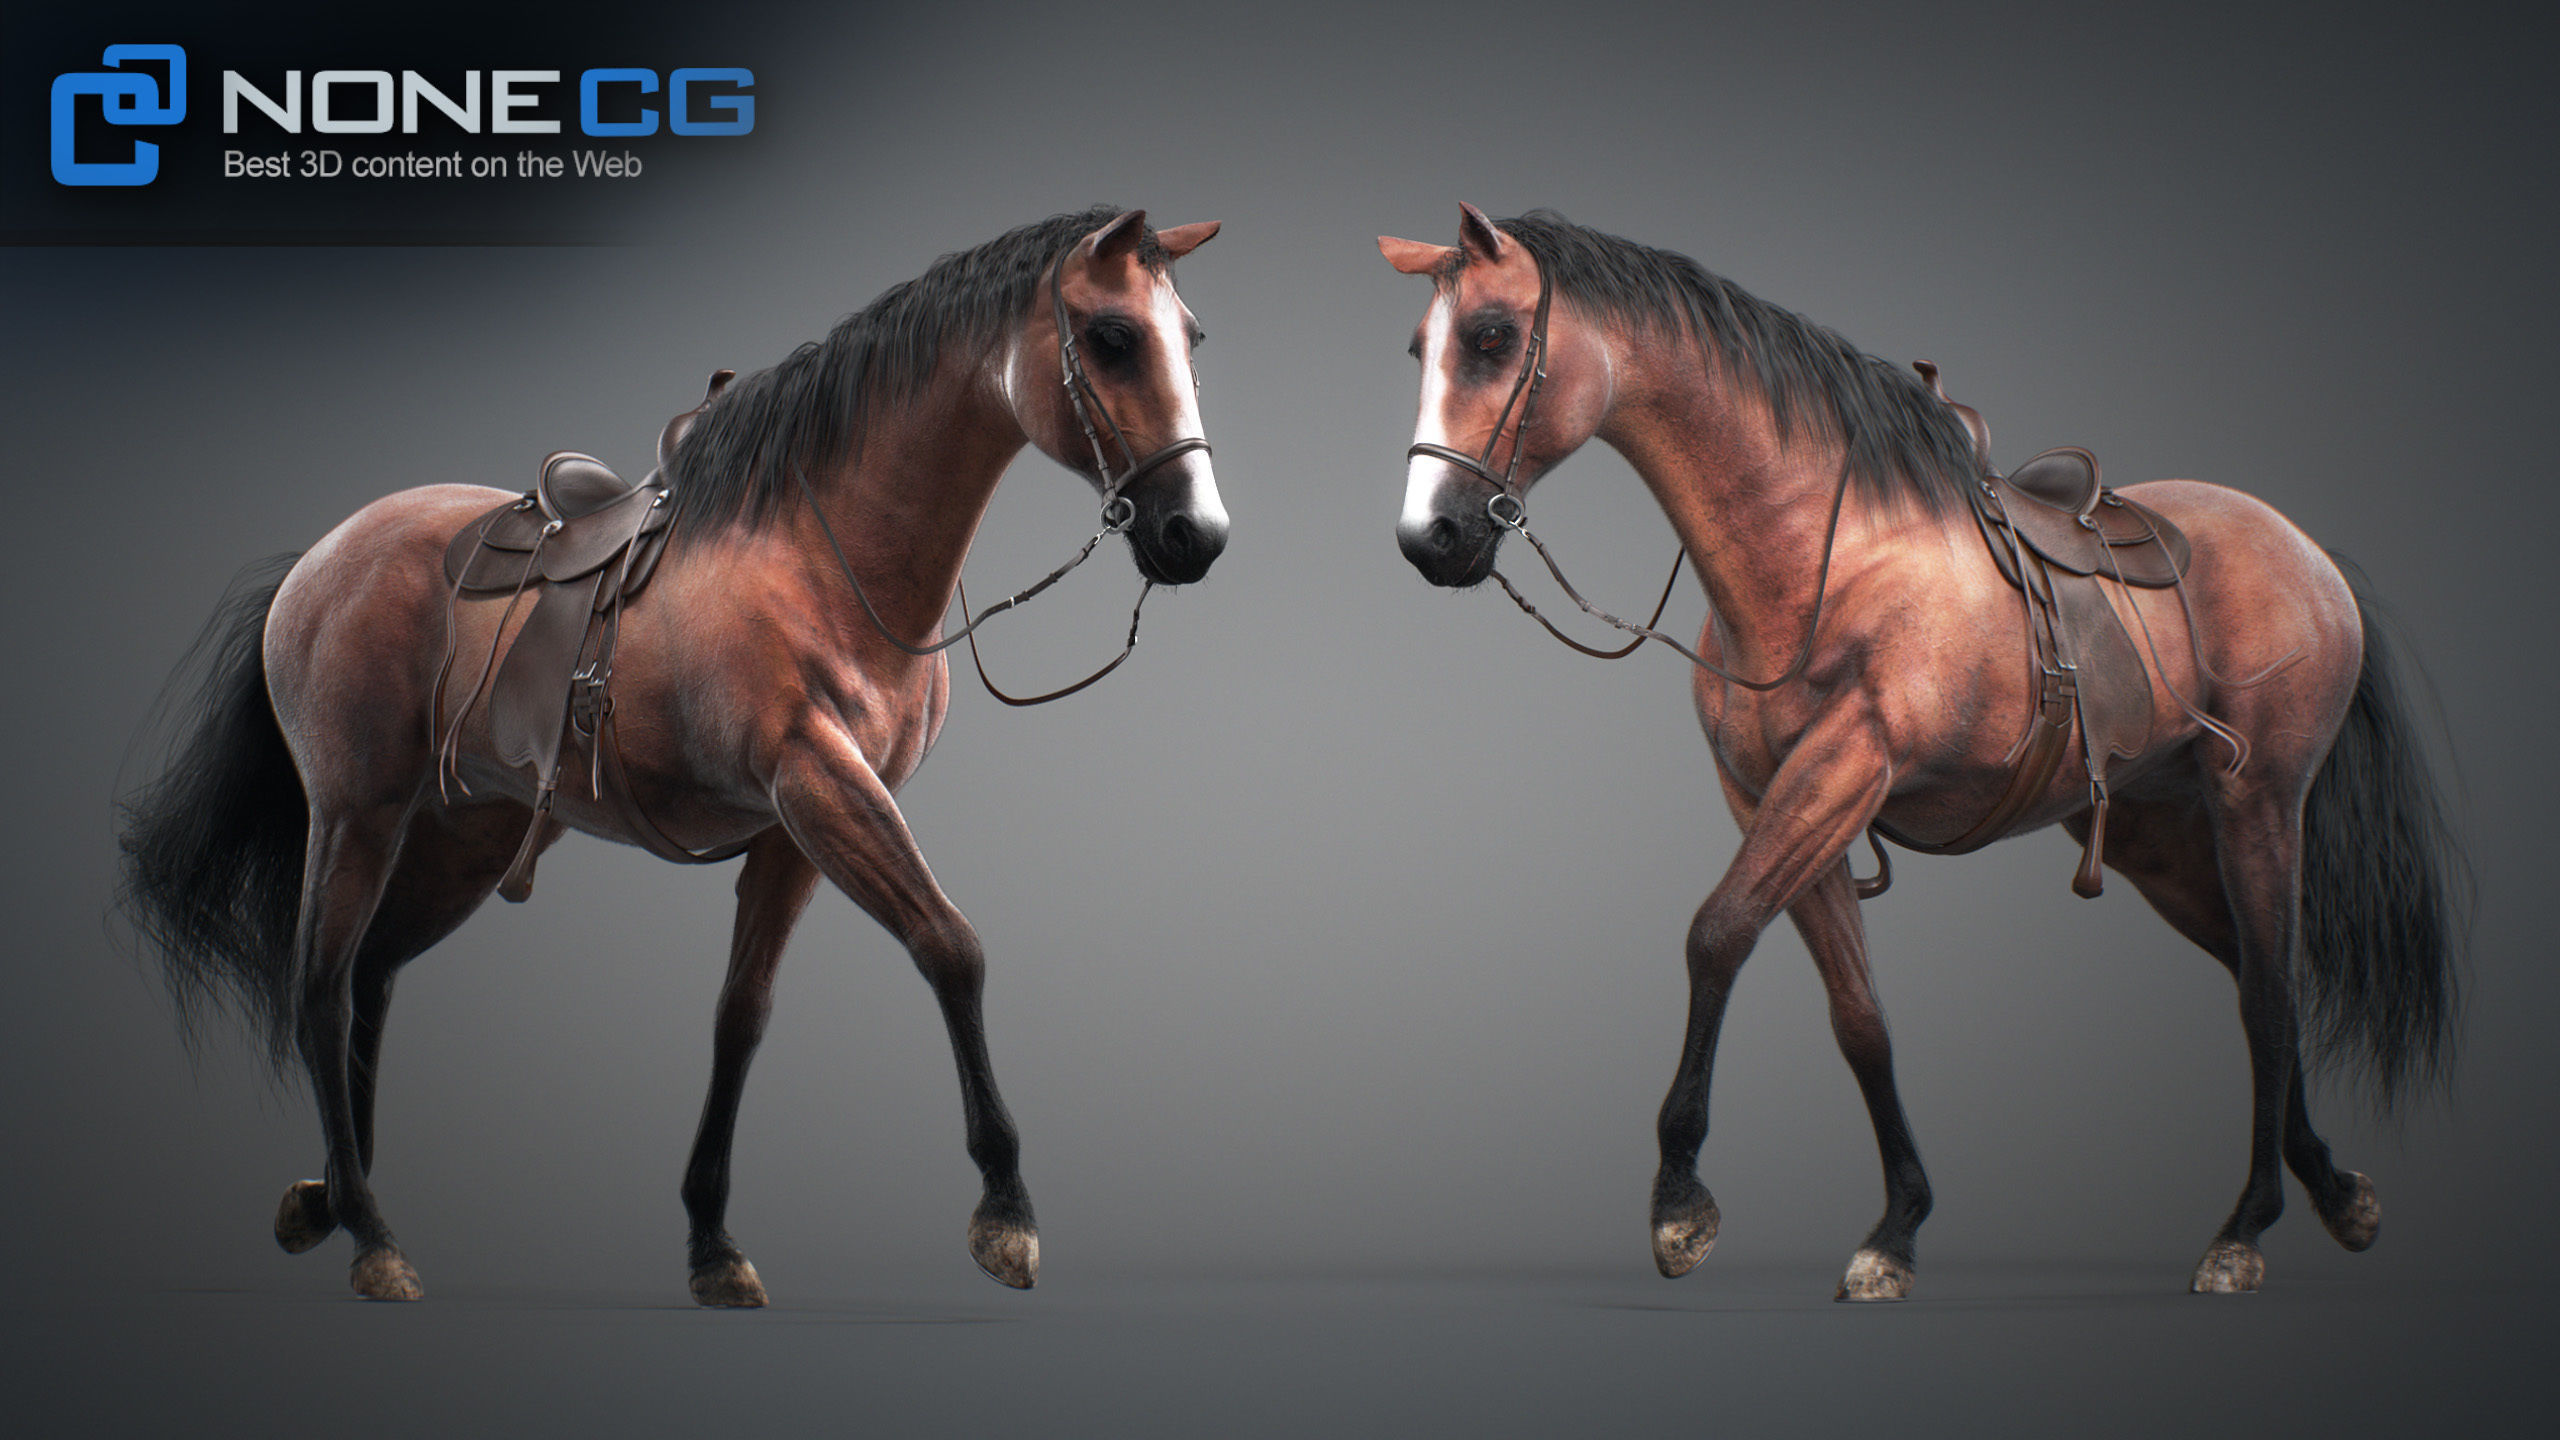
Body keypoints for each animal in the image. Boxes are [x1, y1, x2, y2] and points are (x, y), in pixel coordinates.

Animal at [118, 205, 1229, 1305]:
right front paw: (1005, 1212)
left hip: (463, 835)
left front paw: (710, 1238)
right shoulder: (820, 784)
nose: (1198, 535)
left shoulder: (793, 832)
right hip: (356, 814)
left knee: (374, 973)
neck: (820, 559)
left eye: (1193, 337)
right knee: (318, 983)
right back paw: (371, 1235)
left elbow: (741, 1014)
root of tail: (317, 560)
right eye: (1112, 337)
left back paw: (328, 1195)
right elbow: (951, 946)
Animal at [1379, 204, 2464, 1300]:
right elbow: (1858, 1016)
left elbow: (1716, 933)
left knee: (2273, 988)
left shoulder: (1846, 769)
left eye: (1492, 339)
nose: (1429, 539)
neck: (1826, 561)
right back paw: (2335, 1192)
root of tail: (2307, 554)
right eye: (1421, 349)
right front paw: (1897, 1226)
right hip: (2154, 838)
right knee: (2253, 969)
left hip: (2260, 804)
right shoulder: (1772, 800)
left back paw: (2244, 1228)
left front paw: (1678, 1204)